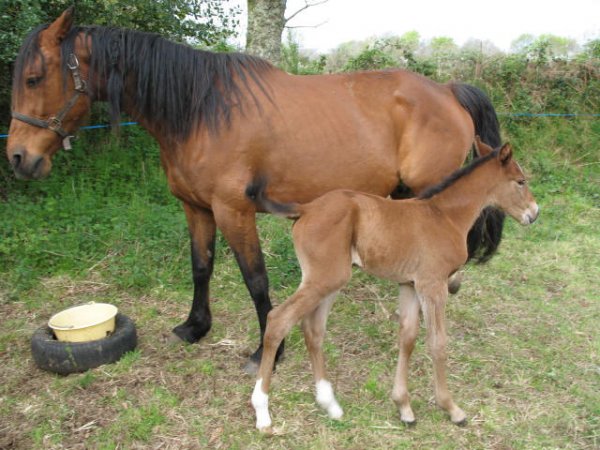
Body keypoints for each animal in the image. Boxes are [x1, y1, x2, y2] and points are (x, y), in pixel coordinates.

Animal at [248, 139, 540, 430]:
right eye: (521, 181)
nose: (534, 213)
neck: (445, 216)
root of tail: (306, 208)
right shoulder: (432, 284)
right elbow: (438, 342)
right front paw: (451, 408)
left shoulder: (409, 285)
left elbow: (407, 338)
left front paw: (404, 407)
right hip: (324, 278)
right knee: (278, 320)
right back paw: (262, 412)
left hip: (329, 280)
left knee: (313, 329)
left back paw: (330, 404)